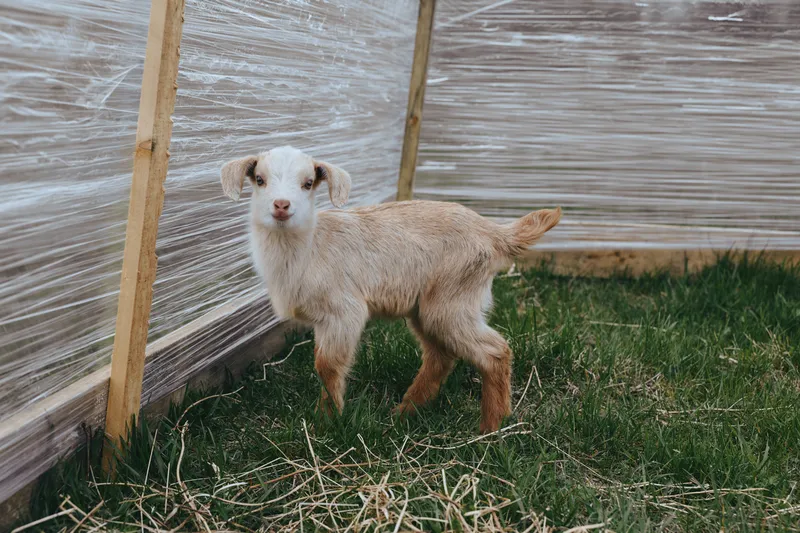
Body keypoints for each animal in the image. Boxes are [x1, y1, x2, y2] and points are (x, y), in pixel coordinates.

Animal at [221, 146, 561, 433]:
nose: (281, 206)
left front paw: (327, 422)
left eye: (307, 183)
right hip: (427, 308)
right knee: (441, 356)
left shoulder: (343, 311)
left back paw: (491, 427)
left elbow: (327, 366)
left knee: (495, 352)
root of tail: (493, 233)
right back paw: (405, 411)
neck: (309, 247)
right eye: (260, 180)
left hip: (452, 299)